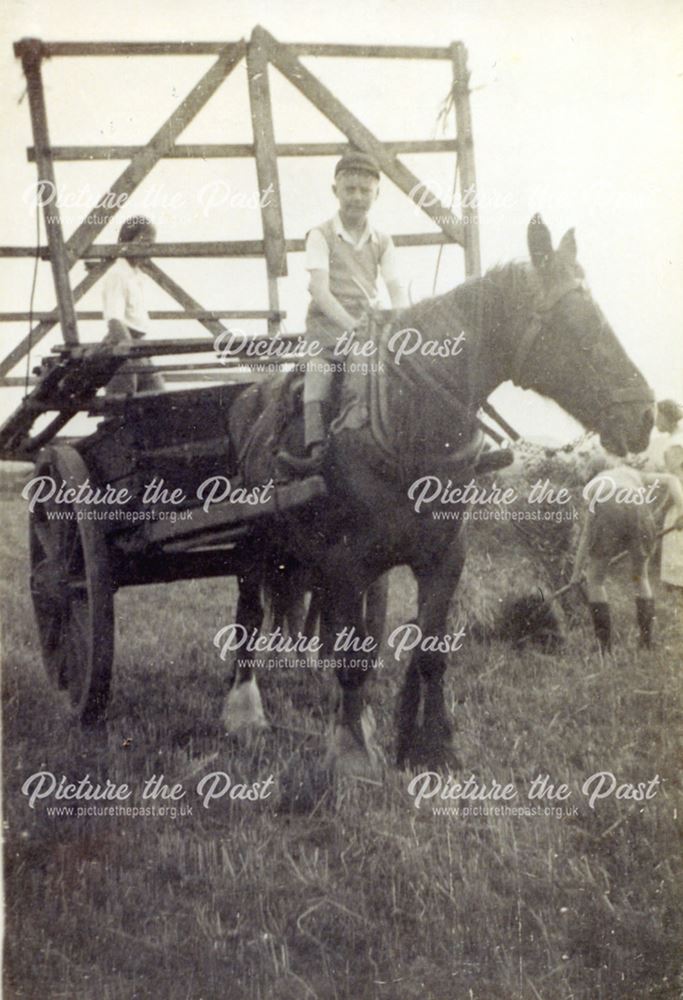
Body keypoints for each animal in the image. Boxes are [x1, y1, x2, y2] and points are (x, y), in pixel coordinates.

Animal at [222, 213, 656, 772]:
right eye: (579, 326)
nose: (646, 415)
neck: (409, 418)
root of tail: (250, 399)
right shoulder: (346, 561)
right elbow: (351, 657)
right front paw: (353, 755)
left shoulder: (443, 556)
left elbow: (426, 651)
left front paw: (431, 745)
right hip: (255, 544)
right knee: (250, 616)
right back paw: (244, 711)